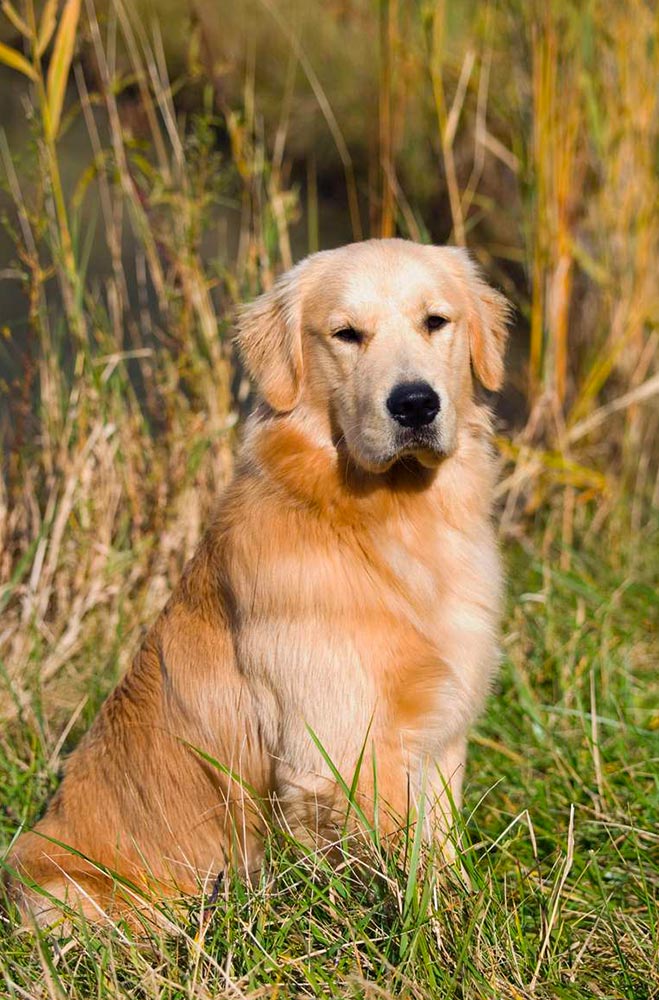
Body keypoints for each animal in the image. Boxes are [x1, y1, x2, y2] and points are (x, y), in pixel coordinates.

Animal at [3, 238, 510, 924]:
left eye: (436, 321)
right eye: (346, 334)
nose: (414, 404)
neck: (386, 523)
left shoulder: (440, 734)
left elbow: (442, 845)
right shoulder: (339, 750)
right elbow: (404, 865)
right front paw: (437, 925)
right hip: (65, 894)